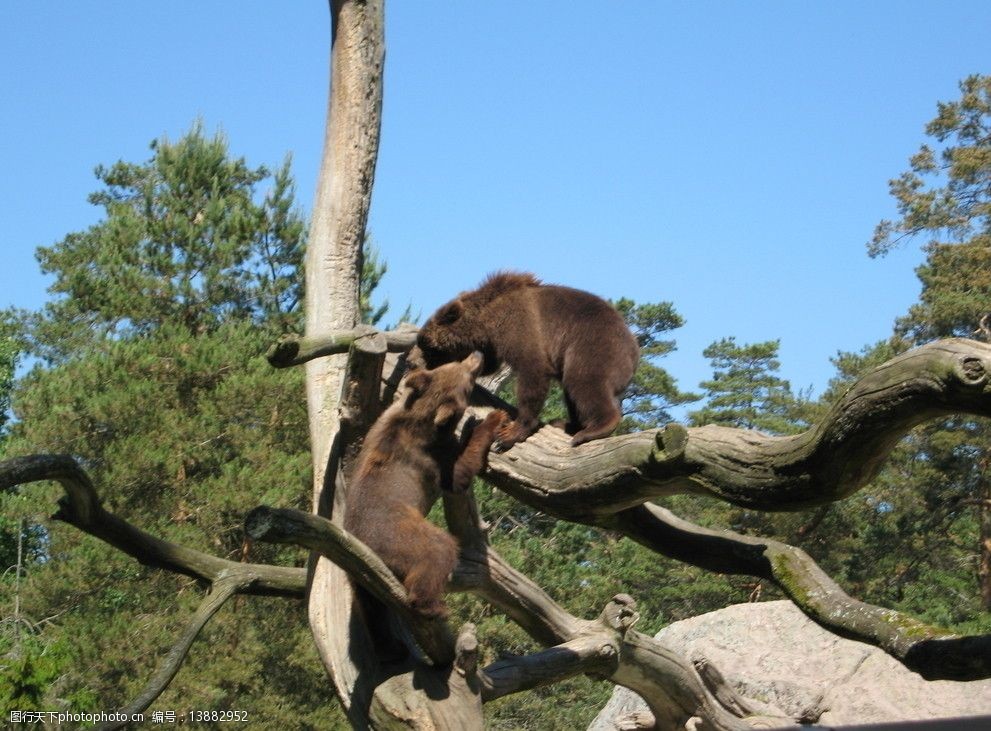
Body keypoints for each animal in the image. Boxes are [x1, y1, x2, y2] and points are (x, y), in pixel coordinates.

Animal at [342, 354, 512, 616]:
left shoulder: (384, 422)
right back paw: (433, 606)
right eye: (466, 379)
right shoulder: (428, 457)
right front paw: (489, 420)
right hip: (397, 534)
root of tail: (361, 550)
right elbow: (457, 475)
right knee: (437, 550)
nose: (477, 356)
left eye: (452, 364)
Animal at [412, 272, 640, 448]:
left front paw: (509, 433)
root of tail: (634, 349)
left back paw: (591, 430)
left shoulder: (521, 327)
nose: (419, 359)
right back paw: (566, 424)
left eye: (427, 345)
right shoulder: (493, 345)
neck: (487, 323)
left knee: (583, 383)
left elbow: (532, 372)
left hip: (592, 346)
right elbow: (490, 365)